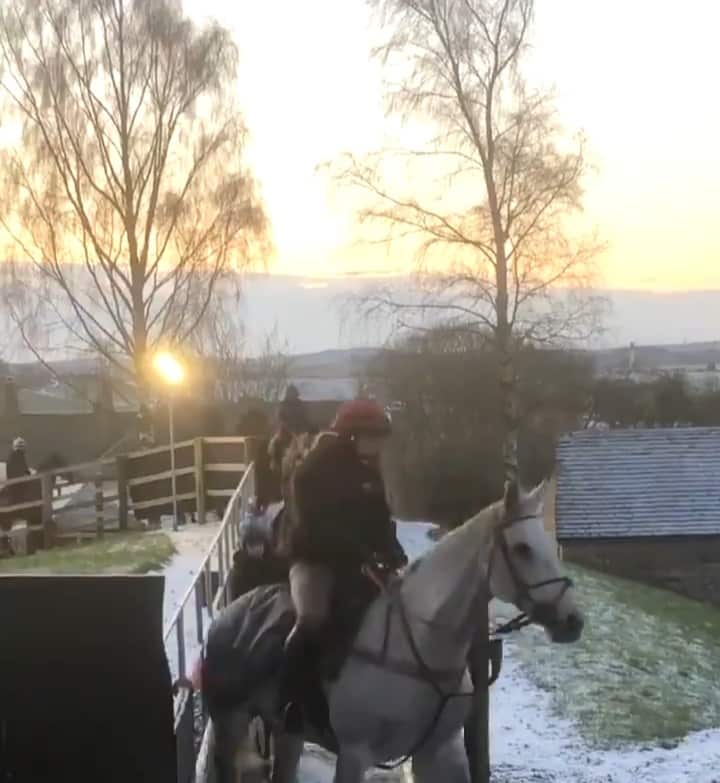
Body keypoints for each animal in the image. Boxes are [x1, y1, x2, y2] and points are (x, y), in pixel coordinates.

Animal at [200, 480, 584, 780]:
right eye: (522, 548)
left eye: (550, 544)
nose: (573, 622)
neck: (416, 645)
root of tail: (230, 614)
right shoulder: (355, 754)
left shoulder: (439, 751)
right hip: (229, 722)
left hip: (287, 734)